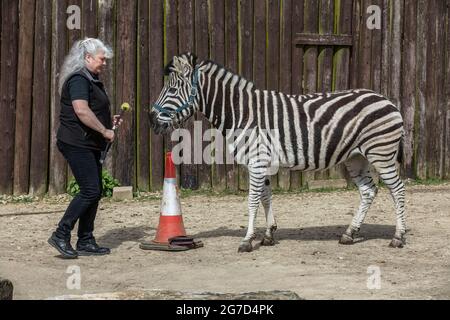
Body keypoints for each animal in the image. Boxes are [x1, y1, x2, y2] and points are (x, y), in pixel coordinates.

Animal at [149, 52, 406, 252]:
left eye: (172, 89)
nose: (151, 119)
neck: (242, 111)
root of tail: (387, 100)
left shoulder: (257, 161)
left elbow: (252, 200)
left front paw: (247, 240)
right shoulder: (261, 162)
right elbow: (265, 197)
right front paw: (268, 235)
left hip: (381, 153)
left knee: (397, 189)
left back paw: (398, 237)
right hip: (356, 157)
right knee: (368, 191)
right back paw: (349, 234)